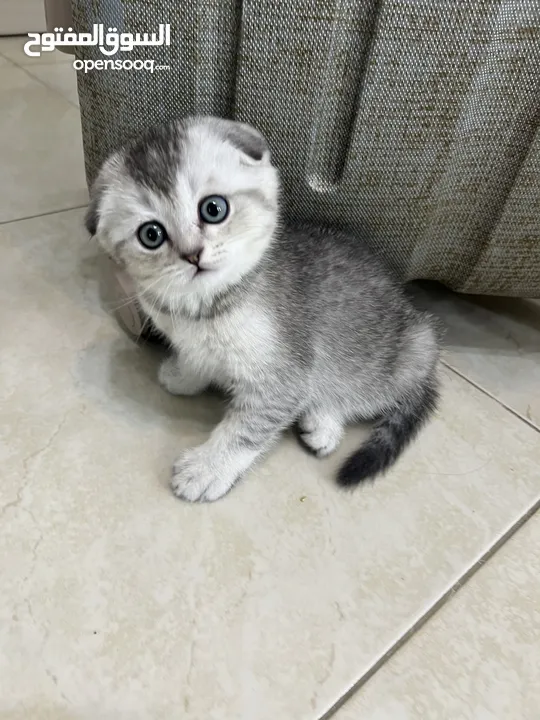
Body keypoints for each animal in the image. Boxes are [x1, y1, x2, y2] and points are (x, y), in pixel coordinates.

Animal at [85, 116, 438, 500]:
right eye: (151, 235)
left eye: (213, 208)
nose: (193, 255)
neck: (205, 310)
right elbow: (196, 359)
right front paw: (184, 376)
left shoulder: (284, 375)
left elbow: (246, 428)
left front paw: (207, 468)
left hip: (400, 354)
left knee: (363, 393)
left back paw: (324, 420)